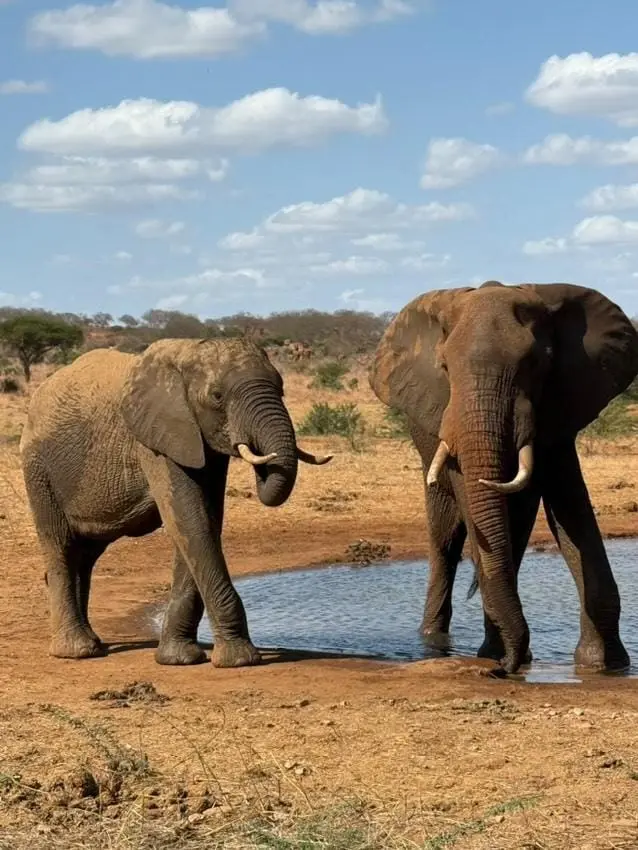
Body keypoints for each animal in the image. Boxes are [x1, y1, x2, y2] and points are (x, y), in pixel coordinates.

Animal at [20, 337, 332, 668]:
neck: (188, 352)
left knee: (86, 554)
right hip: (39, 469)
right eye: (217, 396)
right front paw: (240, 660)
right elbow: (190, 518)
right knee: (61, 546)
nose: (262, 459)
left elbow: (205, 520)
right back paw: (78, 651)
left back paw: (93, 642)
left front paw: (179, 658)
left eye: (281, 388)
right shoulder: (155, 439)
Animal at [370, 281, 638, 675]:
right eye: (445, 367)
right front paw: (496, 655)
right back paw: (437, 641)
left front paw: (604, 665)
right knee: (445, 540)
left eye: (536, 364)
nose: (503, 669)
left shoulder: (558, 404)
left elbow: (569, 504)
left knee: (516, 530)